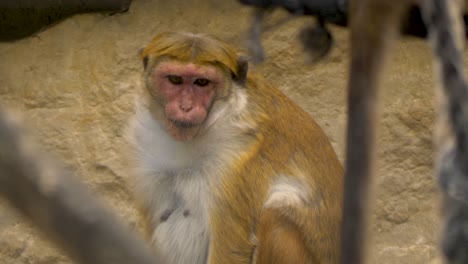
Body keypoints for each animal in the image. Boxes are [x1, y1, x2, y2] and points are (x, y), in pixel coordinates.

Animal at [128, 31, 344, 264]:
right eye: (175, 80)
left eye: (202, 82)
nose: (186, 107)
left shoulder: (235, 159)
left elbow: (230, 248)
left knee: (275, 219)